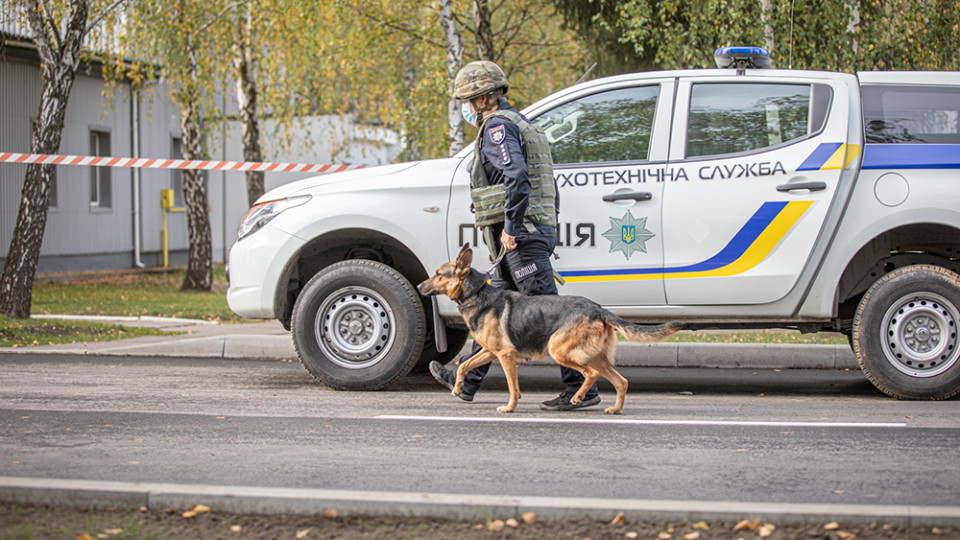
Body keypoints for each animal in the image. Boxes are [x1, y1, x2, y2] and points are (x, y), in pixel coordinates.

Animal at [418, 245, 684, 414]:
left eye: (438, 275)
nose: (419, 286)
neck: (476, 293)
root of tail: (598, 309)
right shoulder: (489, 352)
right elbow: (465, 365)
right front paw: (457, 387)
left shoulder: (505, 355)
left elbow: (513, 387)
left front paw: (510, 407)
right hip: (596, 358)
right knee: (621, 382)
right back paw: (614, 409)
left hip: (561, 351)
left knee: (590, 375)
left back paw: (577, 398)